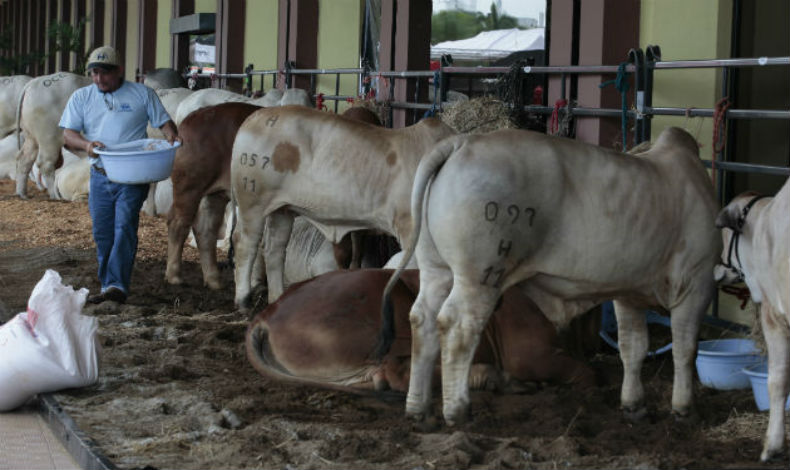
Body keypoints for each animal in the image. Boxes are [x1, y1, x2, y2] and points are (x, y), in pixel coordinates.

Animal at [229, 104, 458, 306]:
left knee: (274, 249)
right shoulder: (410, 227)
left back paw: (276, 297)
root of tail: (255, 117)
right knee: (245, 242)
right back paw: (243, 299)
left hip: (282, 209)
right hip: (253, 201)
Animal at [380, 126, 728, 428]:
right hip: (480, 274)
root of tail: (462, 142)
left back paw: (419, 410)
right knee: (457, 326)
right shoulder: (696, 284)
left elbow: (633, 347)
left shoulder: (628, 292)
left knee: (422, 318)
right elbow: (685, 349)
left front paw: (634, 406)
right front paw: (684, 409)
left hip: (436, 268)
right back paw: (457, 411)